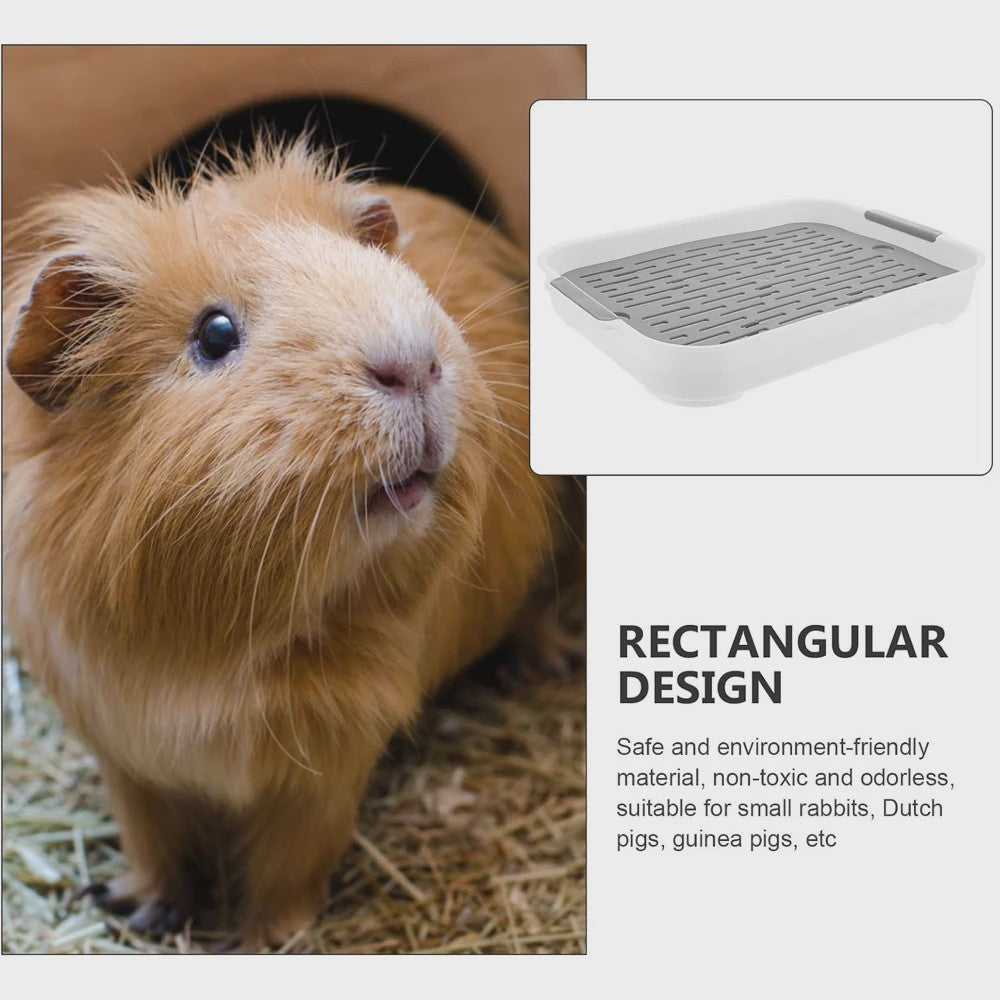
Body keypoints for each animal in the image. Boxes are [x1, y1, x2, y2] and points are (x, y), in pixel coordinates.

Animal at [2, 139, 584, 950]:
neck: (224, 650)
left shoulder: (325, 768)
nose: (414, 363)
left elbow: (286, 873)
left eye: (373, 267)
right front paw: (137, 908)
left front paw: (263, 942)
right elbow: (153, 846)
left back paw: (547, 666)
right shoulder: (124, 753)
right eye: (214, 334)